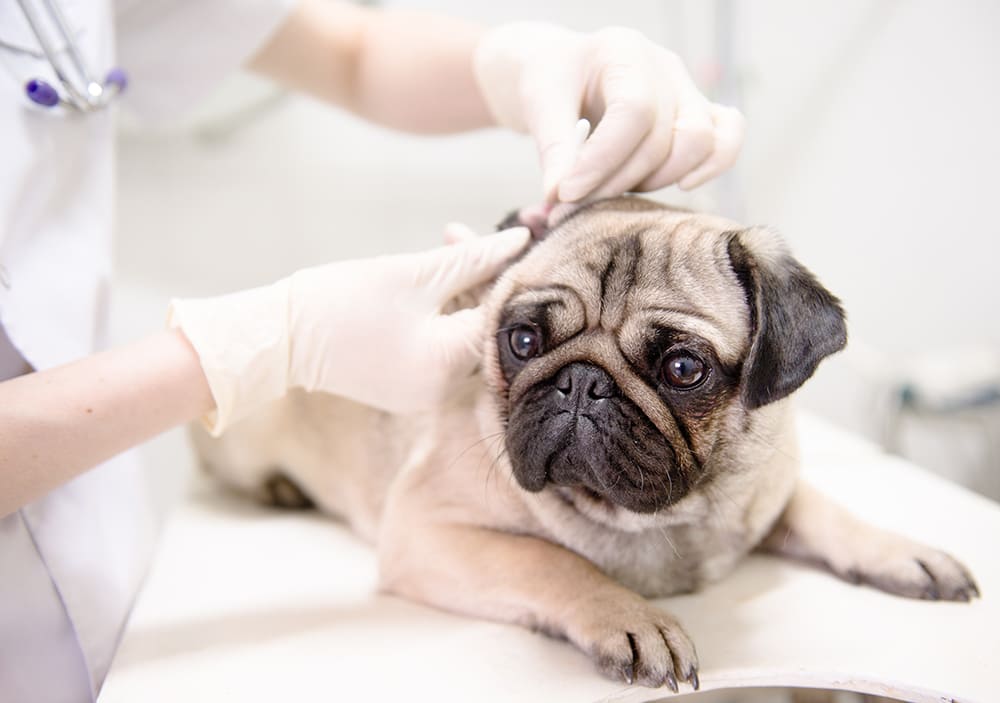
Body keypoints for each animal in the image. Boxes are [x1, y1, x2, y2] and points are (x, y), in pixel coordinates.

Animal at [195, 198, 976, 692]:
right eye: (522, 340)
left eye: (683, 368)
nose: (581, 383)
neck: (669, 517)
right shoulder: (425, 531)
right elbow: (550, 560)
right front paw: (629, 617)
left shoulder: (766, 489)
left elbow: (822, 509)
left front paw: (900, 551)